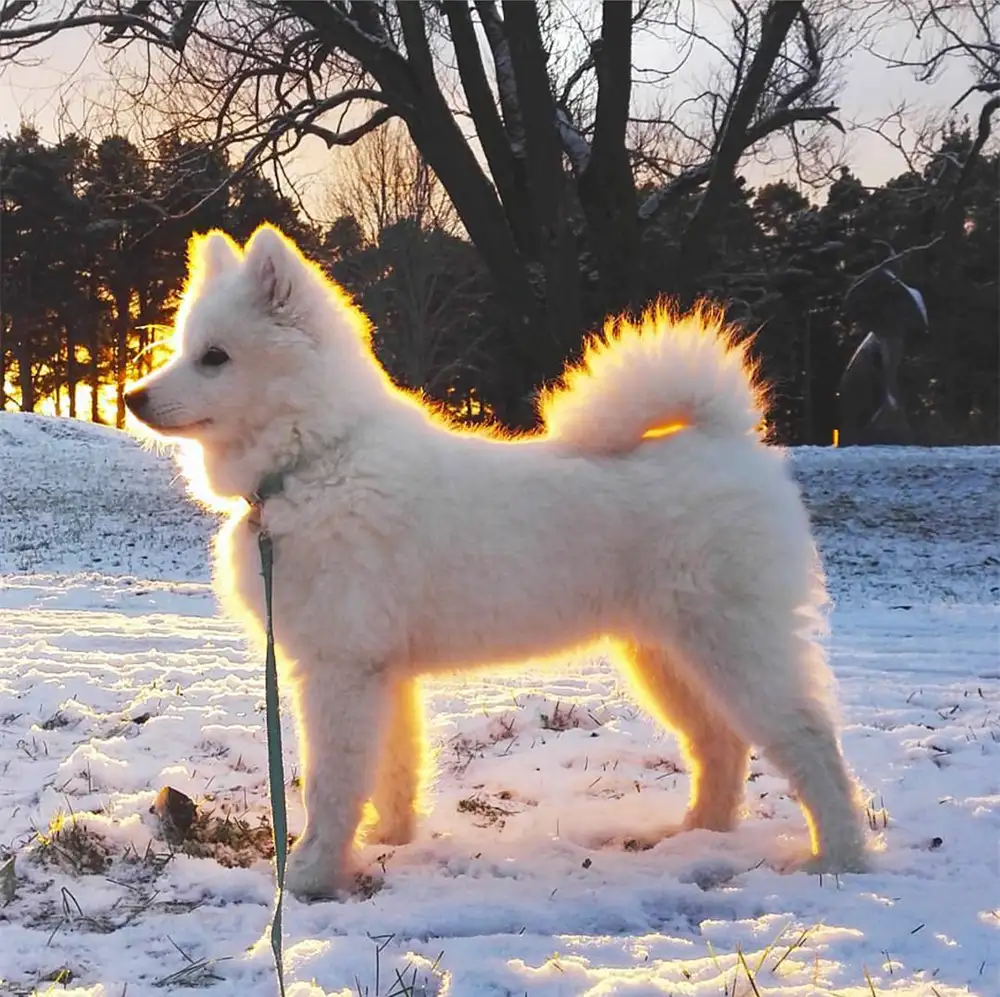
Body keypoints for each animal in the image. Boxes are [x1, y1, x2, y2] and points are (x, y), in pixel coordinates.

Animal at [125, 224, 868, 896]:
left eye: (215, 357)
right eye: (182, 349)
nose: (131, 396)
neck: (315, 459)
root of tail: (724, 438)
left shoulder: (339, 669)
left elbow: (333, 784)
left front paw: (308, 875)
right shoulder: (383, 672)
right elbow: (393, 769)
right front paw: (389, 841)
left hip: (732, 646)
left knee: (809, 739)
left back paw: (839, 858)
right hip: (665, 655)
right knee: (721, 744)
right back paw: (697, 834)